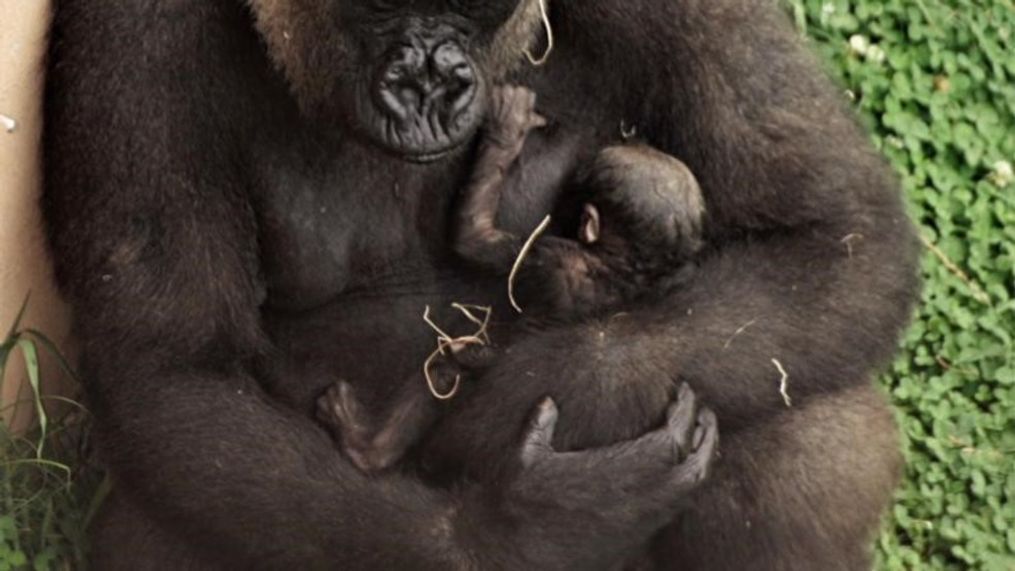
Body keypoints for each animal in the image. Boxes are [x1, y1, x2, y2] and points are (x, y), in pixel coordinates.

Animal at [320, 84, 710, 476]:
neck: (631, 265)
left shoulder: (546, 256)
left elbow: (474, 237)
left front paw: (506, 132)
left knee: (443, 372)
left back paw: (365, 444)